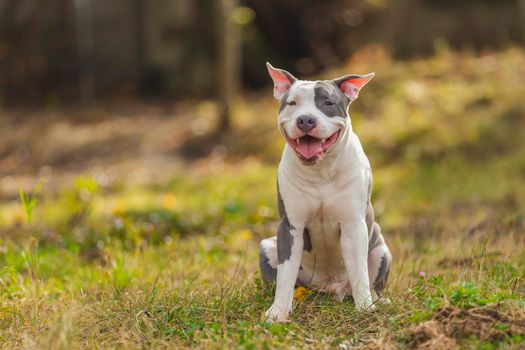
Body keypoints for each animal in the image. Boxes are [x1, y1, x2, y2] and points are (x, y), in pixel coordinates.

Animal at [260, 63, 390, 322]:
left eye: (328, 103)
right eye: (292, 103)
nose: (306, 119)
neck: (320, 171)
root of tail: (330, 289)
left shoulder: (353, 225)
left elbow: (359, 272)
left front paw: (365, 309)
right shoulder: (290, 226)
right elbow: (286, 275)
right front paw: (278, 312)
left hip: (381, 249)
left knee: (372, 282)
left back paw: (377, 300)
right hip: (266, 246)